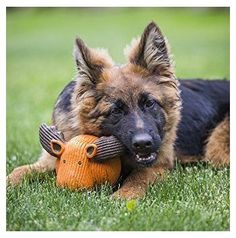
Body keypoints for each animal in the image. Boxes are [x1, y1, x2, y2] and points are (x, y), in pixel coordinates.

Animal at [6, 21, 229, 199]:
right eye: (115, 111)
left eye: (149, 103)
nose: (143, 144)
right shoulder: (51, 158)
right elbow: (20, 170)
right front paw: (9, 183)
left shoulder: (159, 163)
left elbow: (138, 176)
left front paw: (121, 198)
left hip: (215, 150)